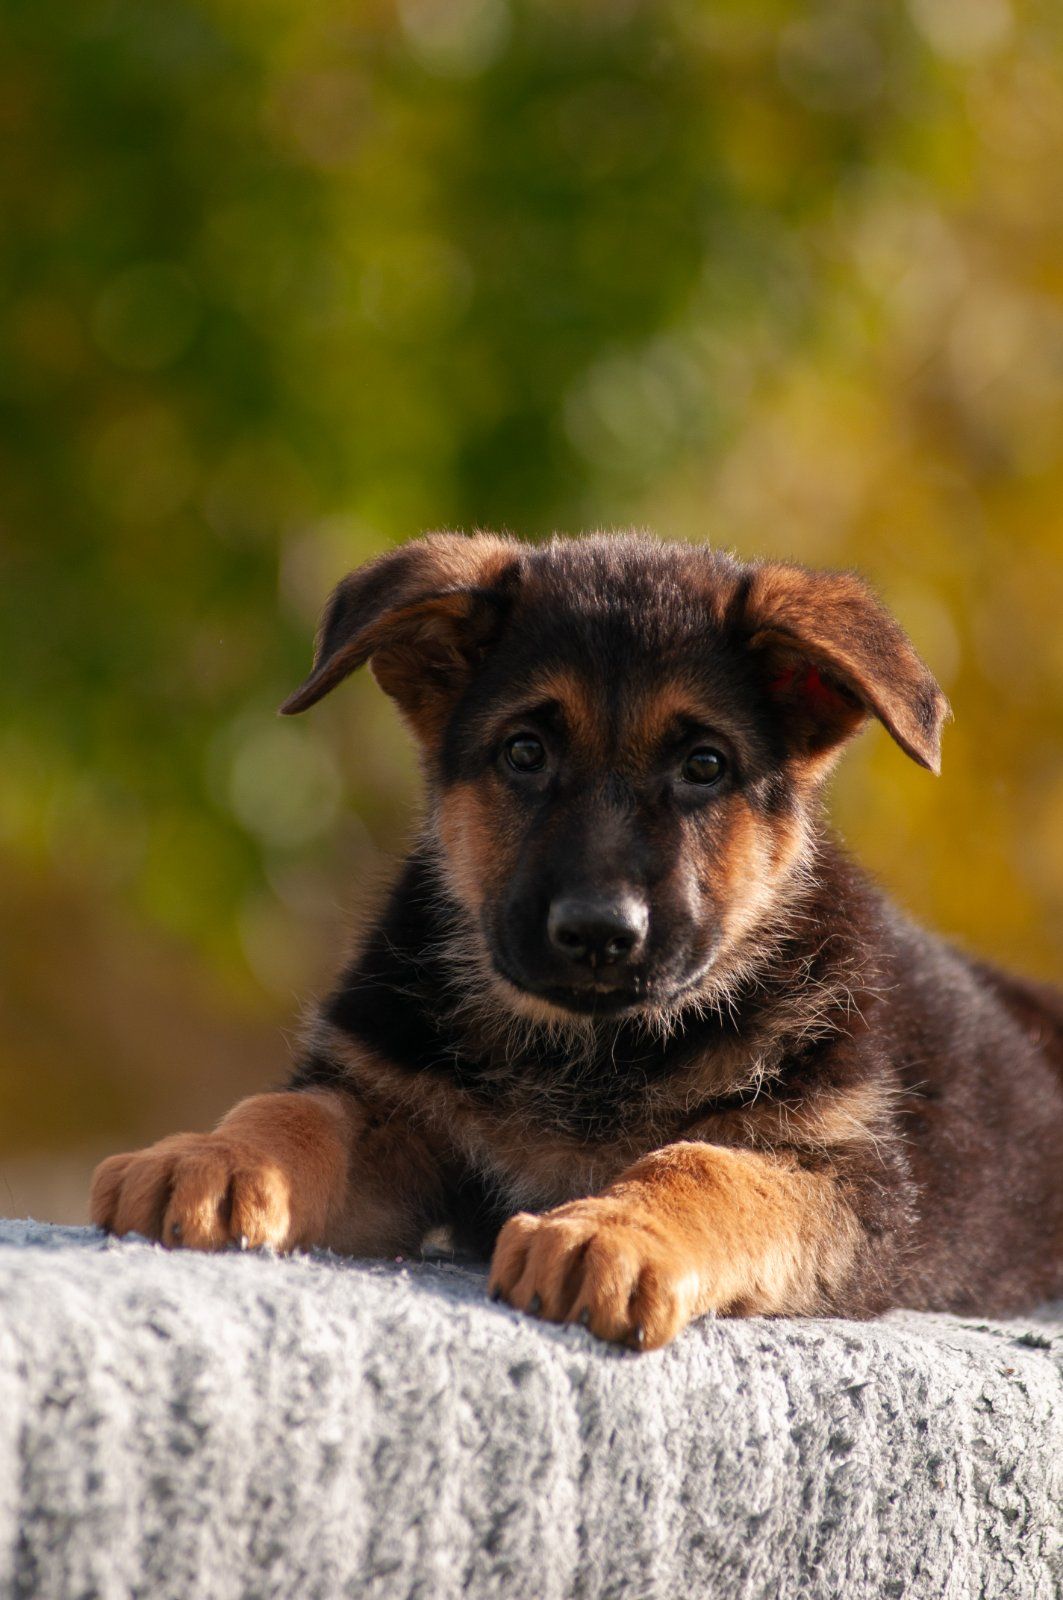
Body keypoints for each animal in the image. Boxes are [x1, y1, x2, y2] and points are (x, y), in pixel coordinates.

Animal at [91, 534, 1063, 1350]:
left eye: (704, 766)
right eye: (524, 752)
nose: (599, 933)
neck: (591, 1052)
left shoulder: (846, 1177)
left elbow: (705, 1163)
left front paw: (609, 1232)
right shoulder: (392, 1105)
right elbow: (291, 1111)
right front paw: (207, 1157)